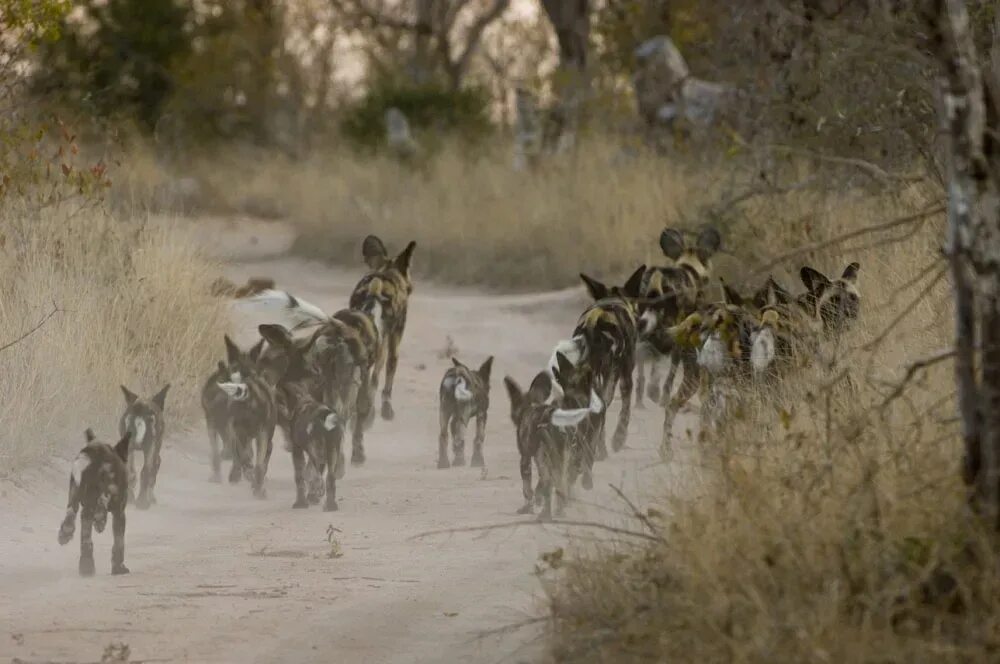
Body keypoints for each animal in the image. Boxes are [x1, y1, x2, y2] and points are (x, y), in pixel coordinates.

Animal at [58, 430, 132, 576]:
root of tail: (94, 452)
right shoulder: (120, 513)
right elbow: (119, 544)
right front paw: (118, 568)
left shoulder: (86, 513)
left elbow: (85, 540)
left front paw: (86, 566)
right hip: (107, 489)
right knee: (102, 502)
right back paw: (100, 521)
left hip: (74, 495)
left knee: (71, 515)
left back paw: (66, 535)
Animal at [216, 338, 276, 498]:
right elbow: (250, 461)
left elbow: (243, 458)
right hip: (257, 436)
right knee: (256, 465)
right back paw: (257, 488)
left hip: (253, 436)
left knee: (252, 463)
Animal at [352, 235, 414, 426]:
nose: (411, 287)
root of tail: (374, 292)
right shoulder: (393, 344)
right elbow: (387, 381)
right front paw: (387, 410)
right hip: (382, 348)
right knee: (373, 380)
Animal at [504, 370, 604, 520]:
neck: (531, 407)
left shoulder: (526, 458)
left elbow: (527, 490)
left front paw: (527, 508)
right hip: (565, 456)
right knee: (560, 485)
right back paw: (558, 510)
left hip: (548, 457)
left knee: (548, 482)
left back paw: (544, 513)